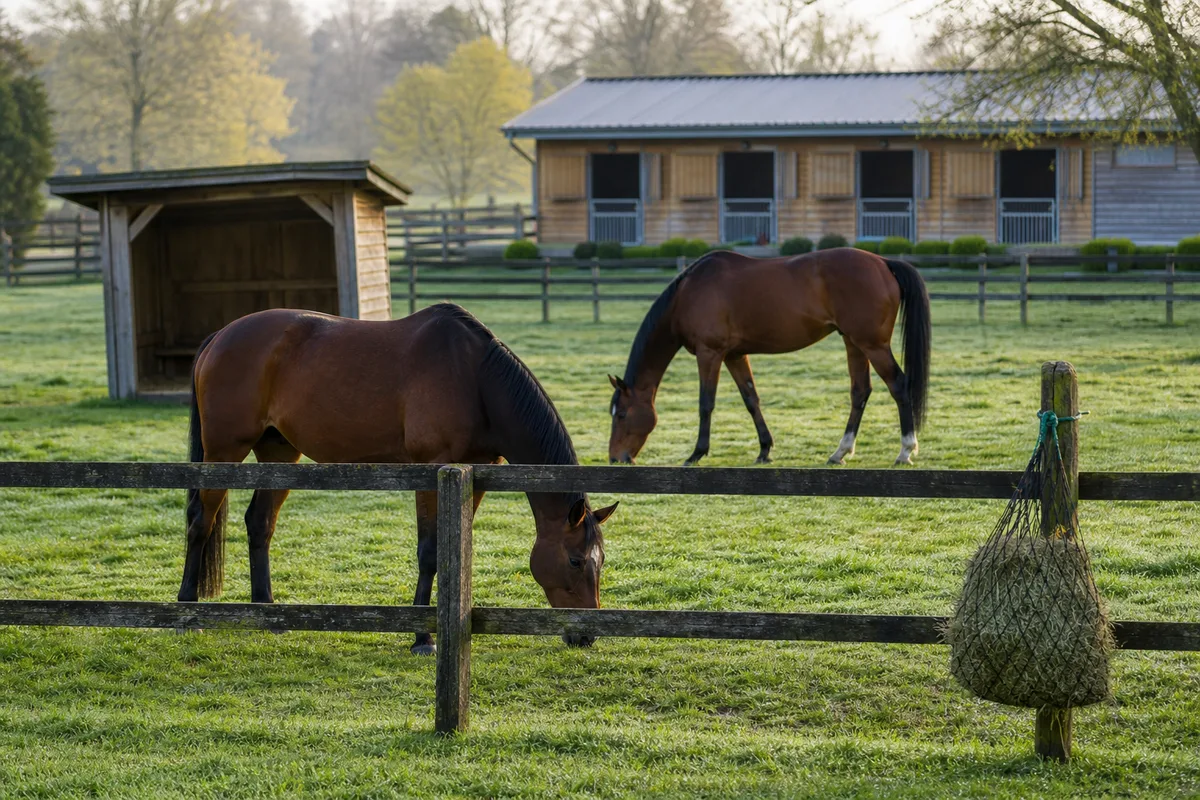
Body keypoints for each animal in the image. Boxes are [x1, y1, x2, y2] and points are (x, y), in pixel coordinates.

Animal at [180, 302, 617, 653]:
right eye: (577, 560)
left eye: (601, 559)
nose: (588, 634)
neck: (474, 379)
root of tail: (220, 336)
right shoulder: (431, 472)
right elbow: (430, 552)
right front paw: (423, 636)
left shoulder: (474, 475)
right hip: (223, 452)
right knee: (201, 522)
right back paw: (187, 613)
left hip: (279, 453)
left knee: (260, 523)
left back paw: (269, 615)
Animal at [608, 248, 930, 466]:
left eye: (621, 414)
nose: (615, 458)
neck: (688, 293)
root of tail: (883, 263)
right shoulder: (735, 355)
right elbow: (751, 399)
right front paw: (764, 450)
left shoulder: (710, 353)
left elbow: (706, 403)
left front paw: (697, 453)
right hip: (853, 342)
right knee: (860, 392)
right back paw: (840, 452)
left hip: (873, 345)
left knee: (898, 385)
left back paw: (905, 450)